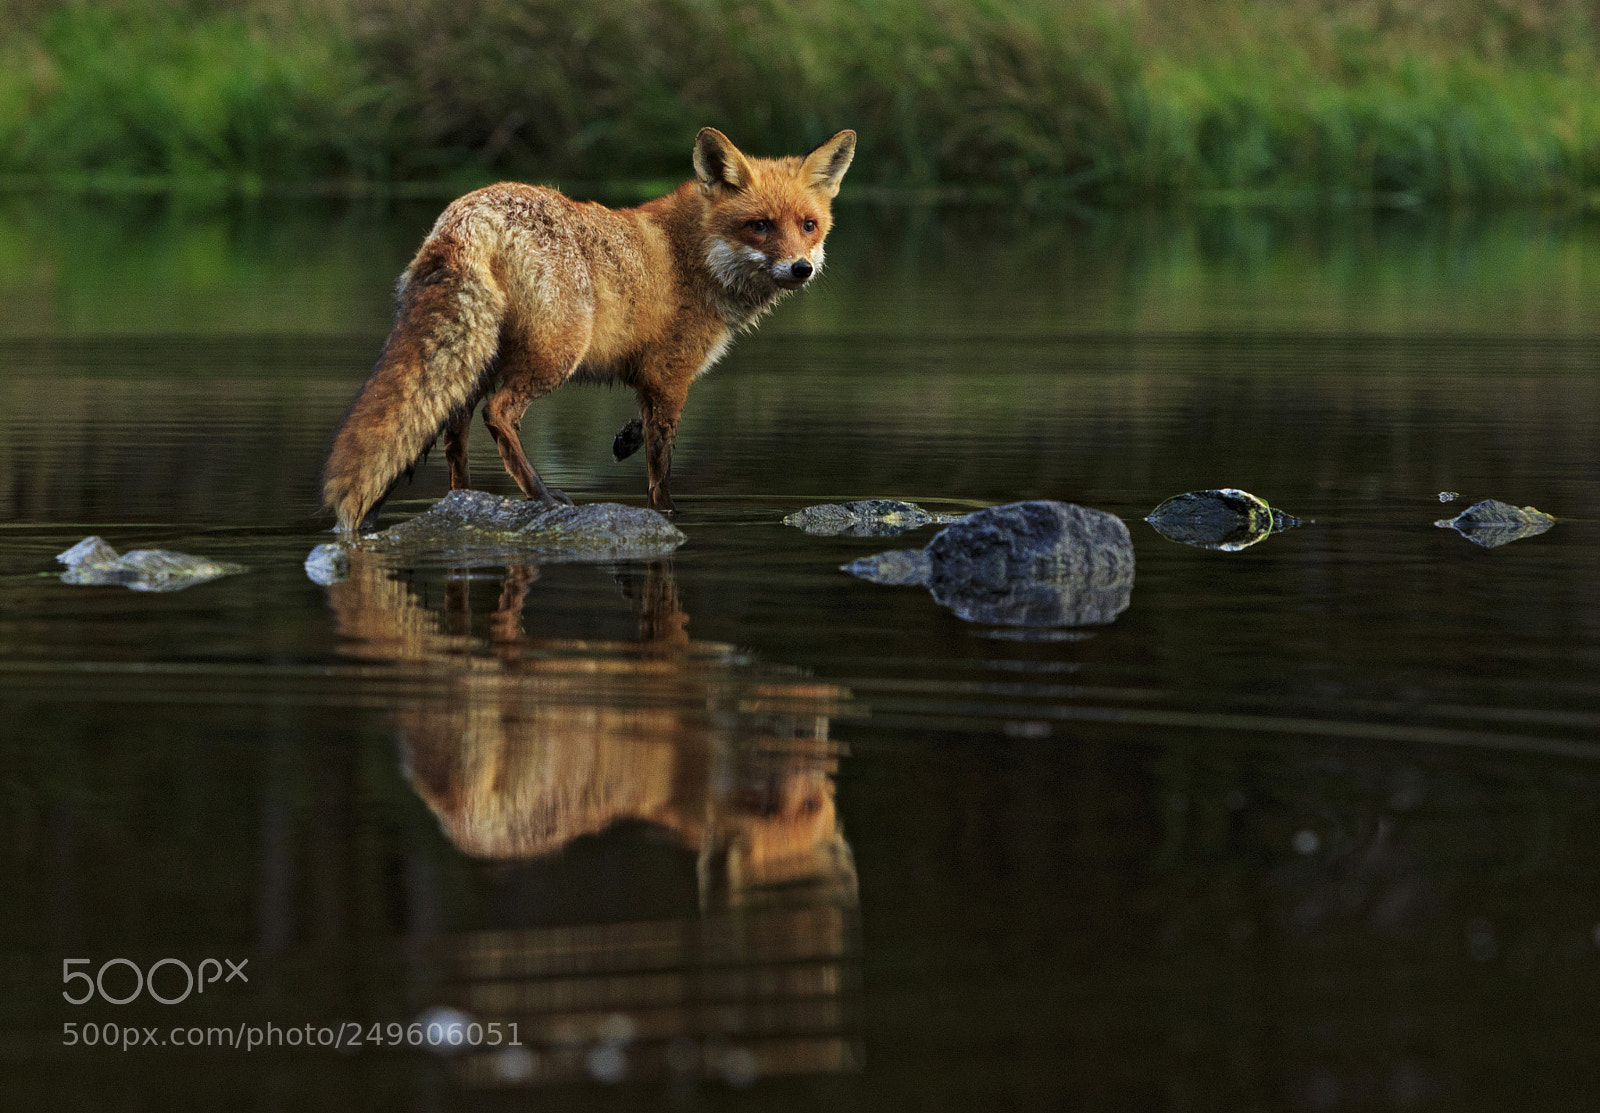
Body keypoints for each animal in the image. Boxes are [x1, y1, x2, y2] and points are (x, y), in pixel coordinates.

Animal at [321, 126, 857, 532]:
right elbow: (661, 468)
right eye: (760, 226)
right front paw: (667, 514)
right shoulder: (671, 375)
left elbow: (642, 430)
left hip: (477, 359)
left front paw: (626, 437)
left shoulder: (648, 376)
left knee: (454, 432)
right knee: (498, 414)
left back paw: (464, 499)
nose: (801, 268)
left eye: (808, 225)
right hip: (554, 353)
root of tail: (469, 214)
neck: (695, 255)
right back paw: (540, 493)